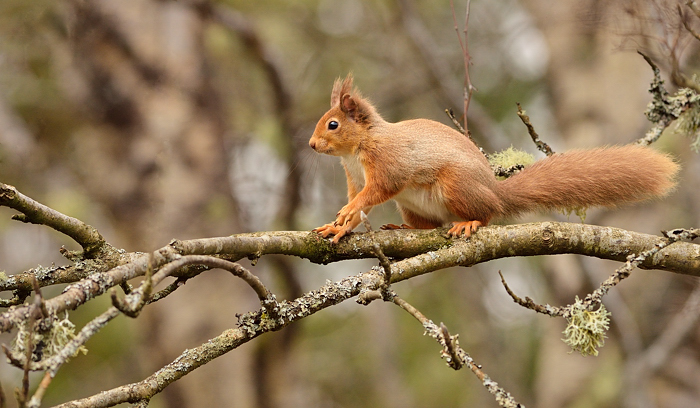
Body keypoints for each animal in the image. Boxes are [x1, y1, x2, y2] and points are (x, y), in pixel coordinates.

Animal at [309, 74, 680, 244]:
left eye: (333, 124)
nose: (311, 145)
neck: (358, 148)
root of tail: (495, 190)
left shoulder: (387, 164)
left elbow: (378, 190)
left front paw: (348, 211)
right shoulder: (355, 176)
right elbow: (361, 205)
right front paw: (339, 226)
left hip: (456, 186)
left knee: (486, 214)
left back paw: (470, 222)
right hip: (413, 206)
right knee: (430, 225)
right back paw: (404, 227)